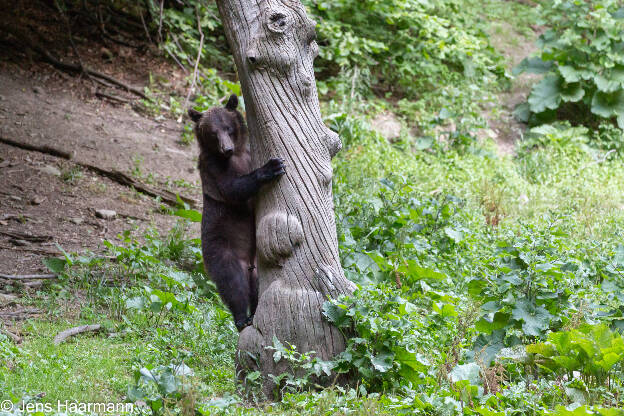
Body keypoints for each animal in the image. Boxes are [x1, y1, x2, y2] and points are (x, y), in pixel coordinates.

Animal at [188, 94, 286, 332]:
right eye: (212, 133)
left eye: (228, 128)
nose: (227, 149)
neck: (238, 155)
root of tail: (248, 263)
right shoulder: (213, 168)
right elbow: (233, 188)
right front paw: (272, 167)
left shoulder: (248, 154)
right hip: (221, 249)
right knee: (233, 284)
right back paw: (242, 318)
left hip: (257, 265)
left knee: (257, 286)